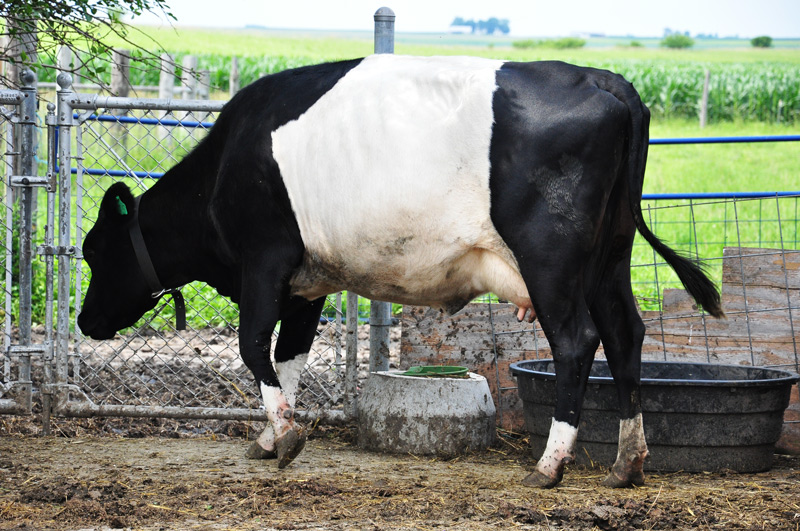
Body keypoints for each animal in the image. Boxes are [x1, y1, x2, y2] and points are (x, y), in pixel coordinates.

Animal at [78, 55, 723, 488]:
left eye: (93, 251)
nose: (84, 321)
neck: (223, 170)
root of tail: (601, 79)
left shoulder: (265, 258)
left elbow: (253, 345)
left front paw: (284, 437)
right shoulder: (308, 281)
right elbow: (289, 356)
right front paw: (269, 436)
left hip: (551, 259)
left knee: (576, 341)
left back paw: (550, 464)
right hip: (609, 256)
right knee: (624, 336)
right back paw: (627, 462)